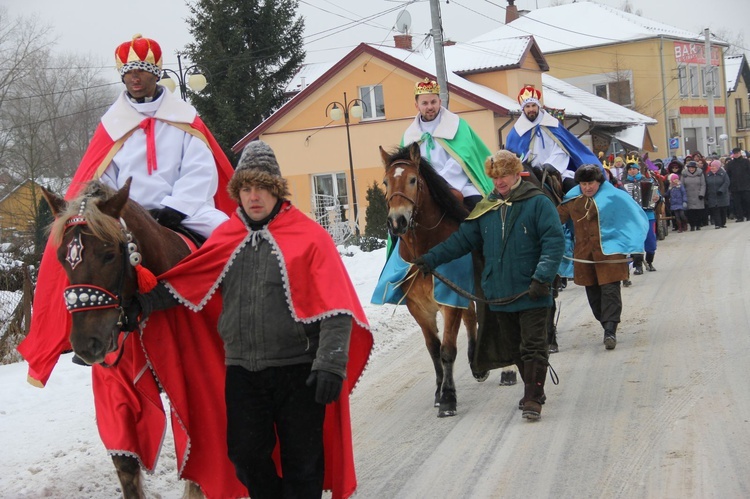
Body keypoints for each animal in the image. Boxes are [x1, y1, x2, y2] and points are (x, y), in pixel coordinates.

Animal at [41, 180, 241, 499]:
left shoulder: (201, 389)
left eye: (109, 254)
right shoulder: (119, 390)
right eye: (62, 258)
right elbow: (126, 463)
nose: (87, 343)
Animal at [378, 144, 490, 418]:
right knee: (471, 317)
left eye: (412, 179)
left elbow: (447, 350)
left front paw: (449, 398)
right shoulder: (419, 308)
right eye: (385, 182)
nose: (397, 221)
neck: (424, 251)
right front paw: (440, 392)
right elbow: (433, 349)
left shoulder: (449, 301)